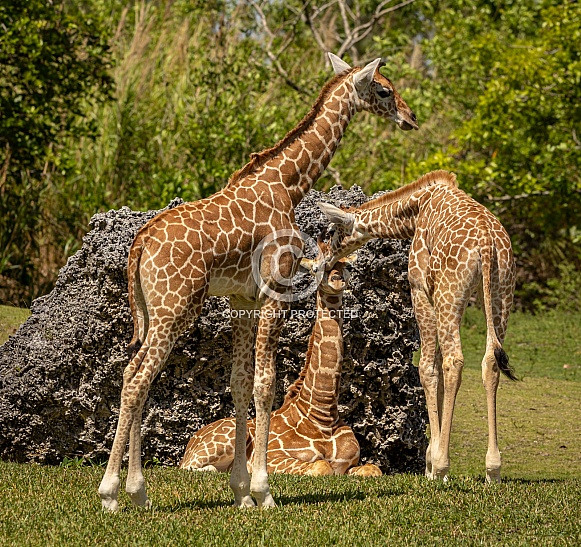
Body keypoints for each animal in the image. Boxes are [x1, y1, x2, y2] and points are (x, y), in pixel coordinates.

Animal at [179, 247, 382, 476]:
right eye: (316, 268)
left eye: (347, 265)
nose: (336, 280)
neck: (323, 414)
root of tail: (189, 445)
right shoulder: (273, 458)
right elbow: (322, 466)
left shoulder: (350, 464)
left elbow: (374, 468)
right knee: (192, 468)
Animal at [318, 170, 516, 484]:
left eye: (331, 232)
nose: (321, 262)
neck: (413, 212)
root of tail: (487, 244)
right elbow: (438, 368)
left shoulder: (420, 286)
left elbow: (427, 367)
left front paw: (432, 464)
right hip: (501, 291)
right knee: (489, 362)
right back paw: (493, 470)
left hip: (450, 291)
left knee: (454, 361)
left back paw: (443, 465)